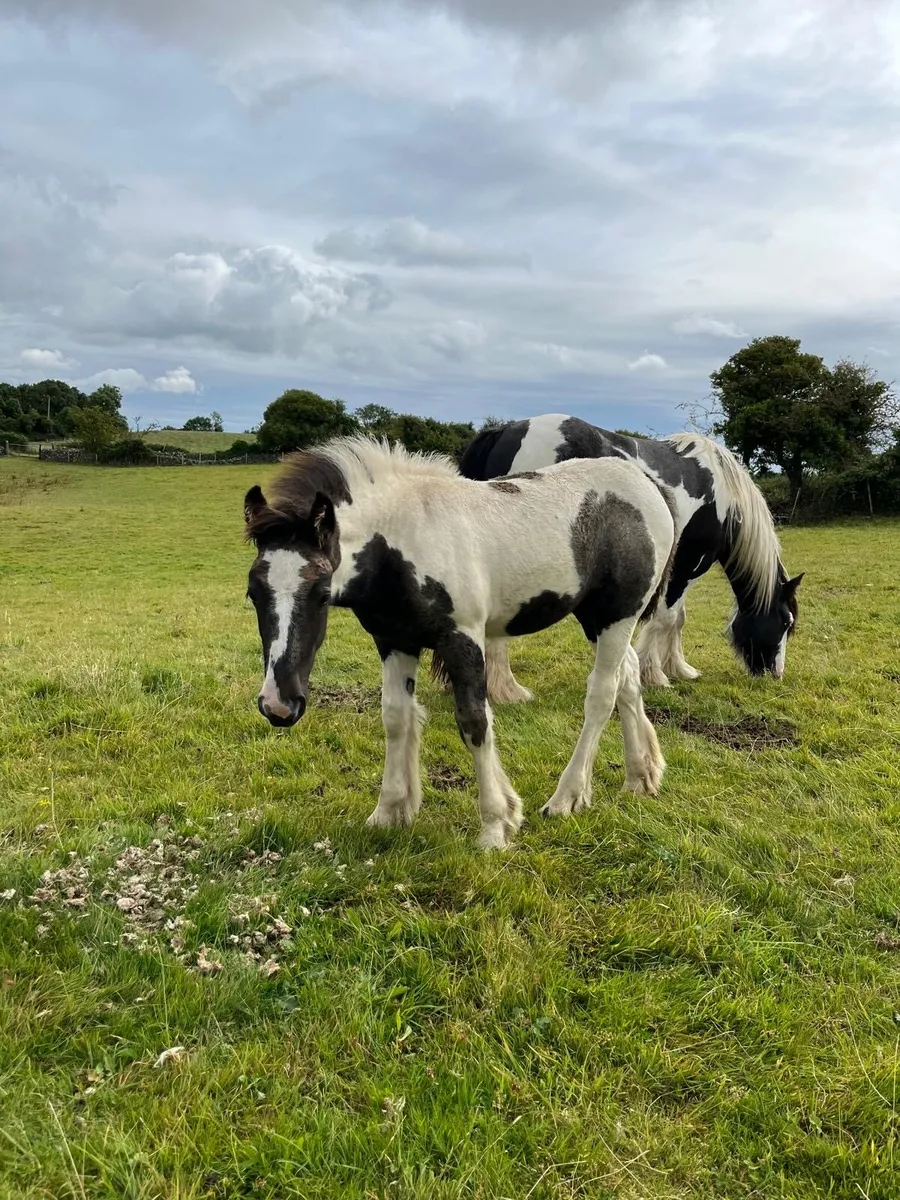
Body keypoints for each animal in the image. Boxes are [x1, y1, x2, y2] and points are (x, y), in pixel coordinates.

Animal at [243, 435, 676, 850]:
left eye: (320, 592)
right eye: (252, 594)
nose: (278, 705)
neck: (402, 542)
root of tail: (646, 483)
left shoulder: (462, 639)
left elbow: (474, 721)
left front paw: (496, 825)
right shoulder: (394, 640)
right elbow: (396, 717)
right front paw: (389, 812)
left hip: (619, 615)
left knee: (602, 694)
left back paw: (566, 798)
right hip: (594, 619)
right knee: (628, 677)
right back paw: (641, 775)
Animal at [458, 414, 803, 702]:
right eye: (785, 622)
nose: (776, 673)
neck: (721, 494)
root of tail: (506, 431)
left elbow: (678, 619)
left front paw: (680, 668)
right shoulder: (688, 566)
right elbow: (667, 618)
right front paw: (656, 674)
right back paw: (508, 690)